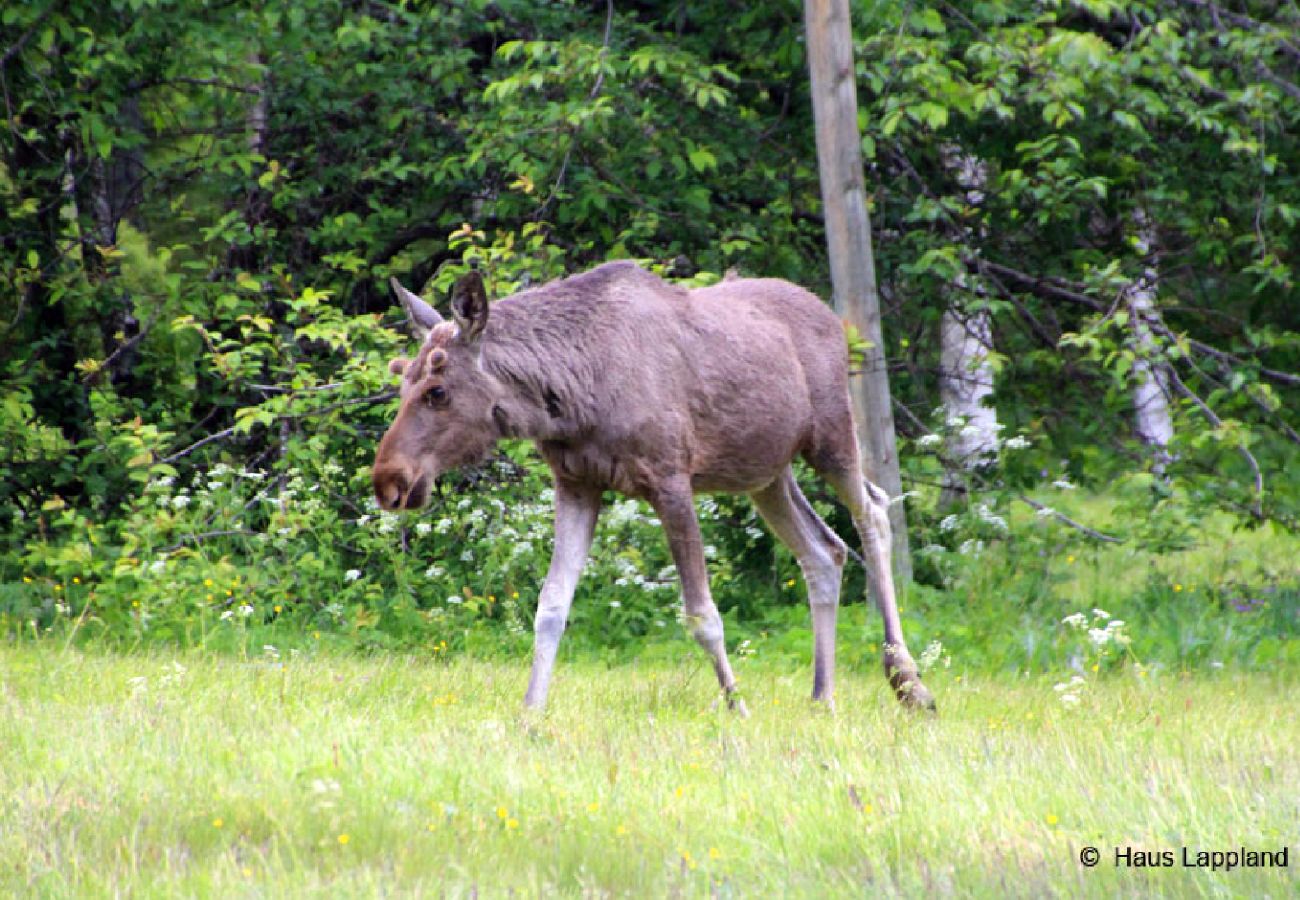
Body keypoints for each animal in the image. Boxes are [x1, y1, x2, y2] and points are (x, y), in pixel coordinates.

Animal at [377, 261, 935, 717]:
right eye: (401, 379)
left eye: (438, 390)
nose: (388, 480)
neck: (569, 396)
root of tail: (834, 321)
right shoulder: (577, 483)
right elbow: (550, 606)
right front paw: (530, 713)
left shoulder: (670, 480)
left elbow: (703, 614)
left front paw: (736, 705)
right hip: (766, 474)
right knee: (824, 551)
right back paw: (822, 696)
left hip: (831, 437)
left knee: (874, 511)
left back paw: (908, 682)